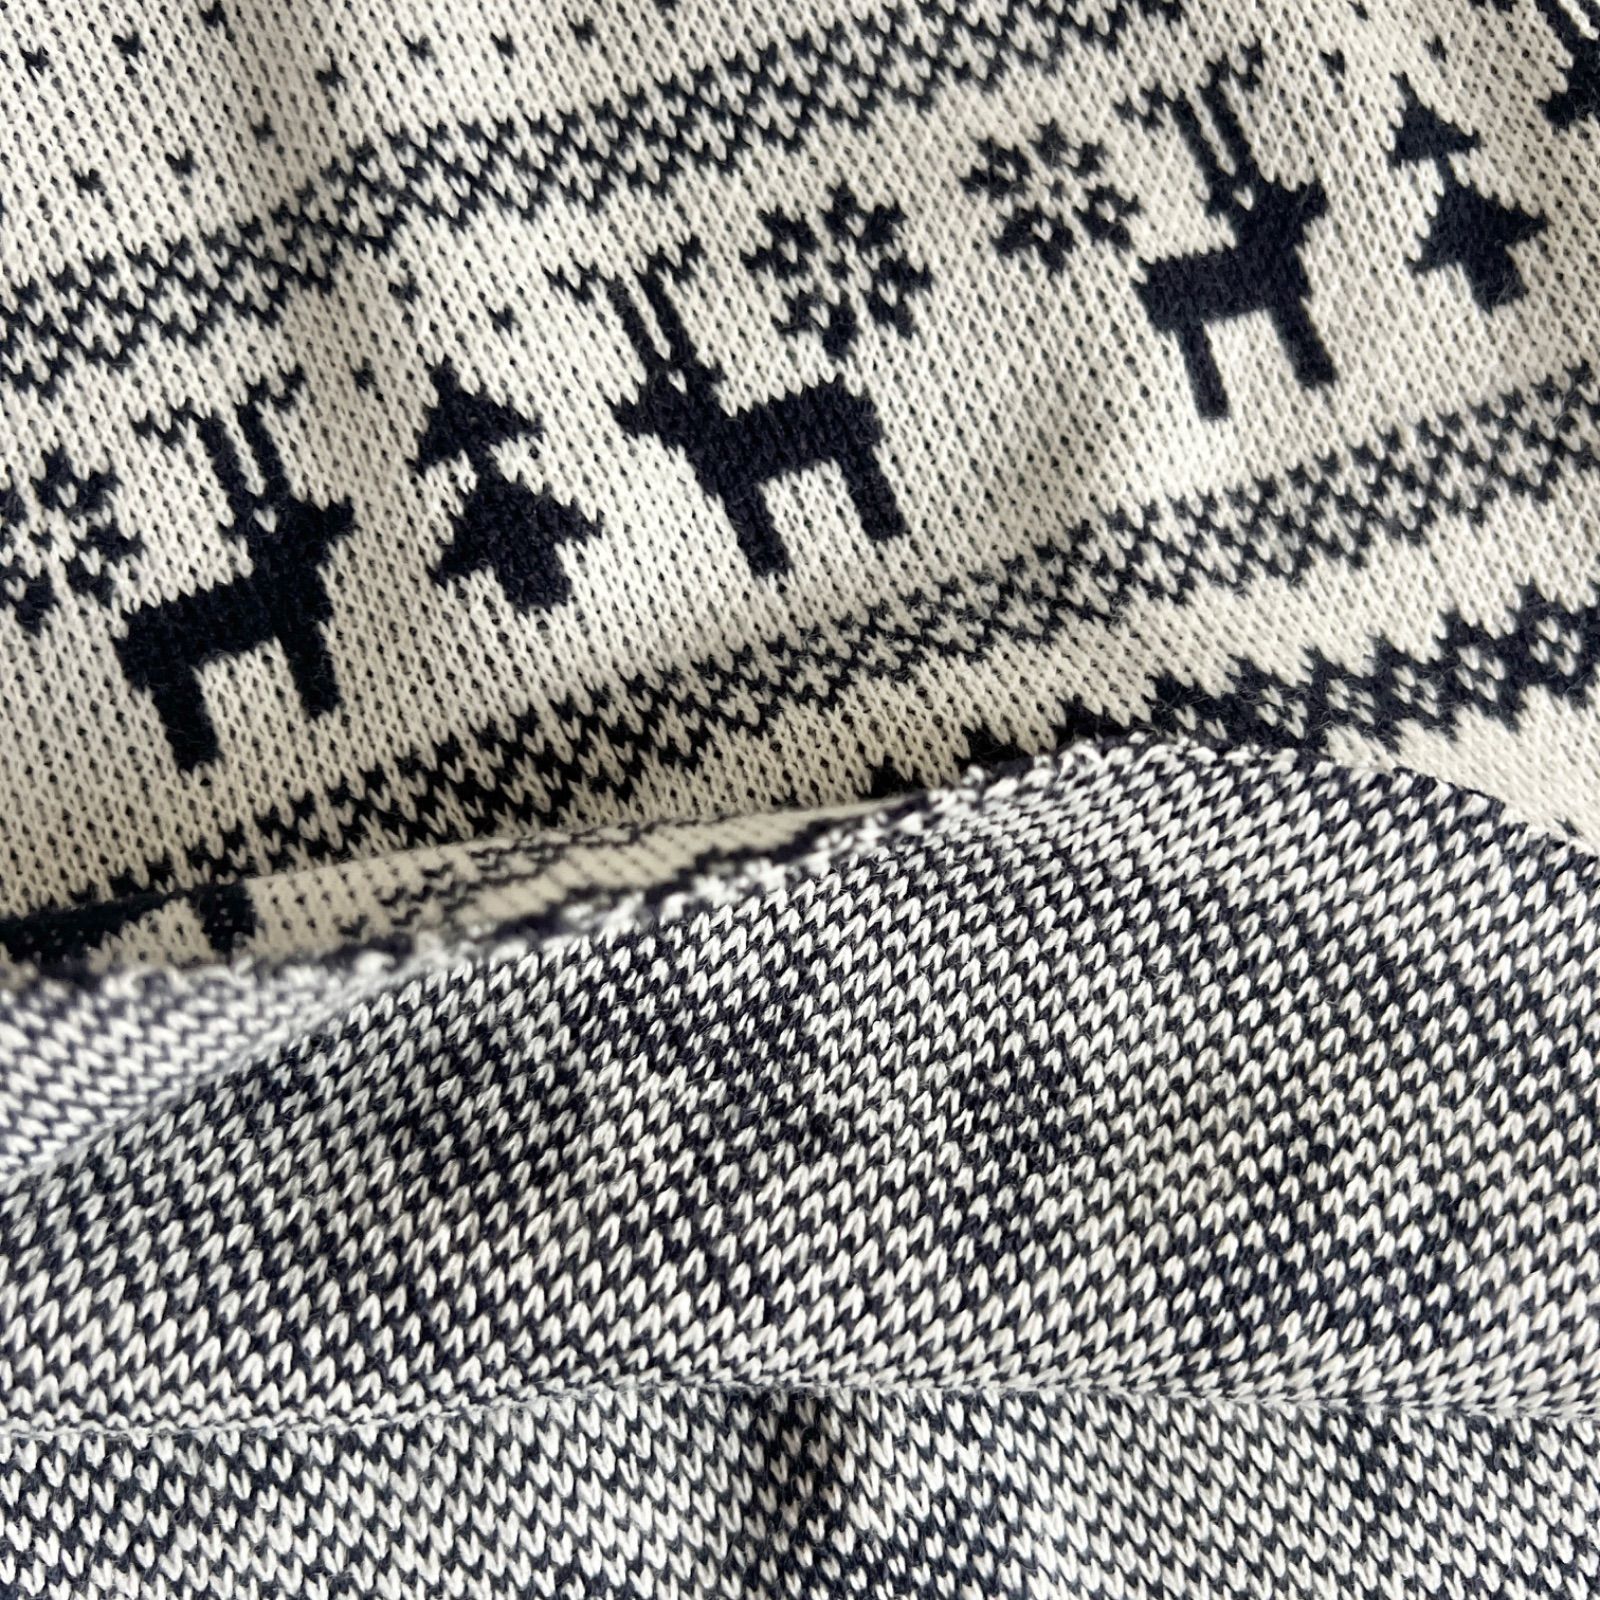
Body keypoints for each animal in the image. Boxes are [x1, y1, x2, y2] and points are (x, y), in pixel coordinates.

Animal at [115, 373, 354, 771]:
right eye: (302, 520)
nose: (344, 513)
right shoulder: (298, 632)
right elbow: (315, 682)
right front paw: (323, 711)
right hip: (173, 679)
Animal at [565, 243, 908, 577]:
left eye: (665, 399)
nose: (624, 420)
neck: (713, 431)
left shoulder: (739, 488)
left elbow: (757, 529)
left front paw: (771, 566)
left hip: (852, 452)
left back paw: (886, 529)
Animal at [1133, 59, 1337, 420]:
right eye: (1284, 202)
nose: (1319, 195)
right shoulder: (1284, 300)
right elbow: (1302, 339)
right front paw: (1317, 373)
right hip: (1187, 322)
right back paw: (1215, 407)